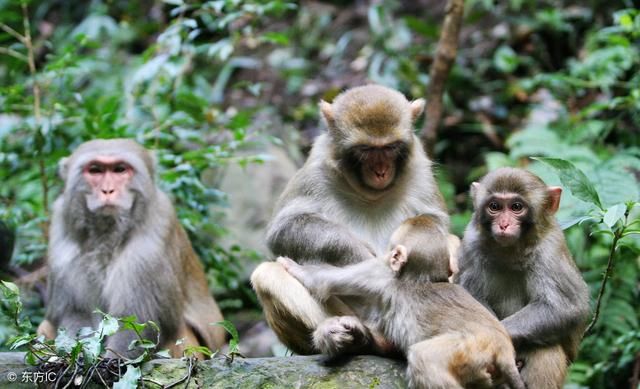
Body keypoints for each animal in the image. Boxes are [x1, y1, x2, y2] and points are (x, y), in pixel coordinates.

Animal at [35, 139, 225, 358]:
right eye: (95, 170)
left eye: (120, 169)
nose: (108, 191)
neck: (107, 234)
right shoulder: (61, 222)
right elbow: (75, 313)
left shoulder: (158, 227)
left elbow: (138, 320)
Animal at [250, 84, 460, 354]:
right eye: (366, 149)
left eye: (390, 147)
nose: (381, 171)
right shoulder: (316, 168)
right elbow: (284, 228)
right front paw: (360, 257)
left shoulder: (419, 168)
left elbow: (436, 221)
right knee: (267, 272)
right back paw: (349, 336)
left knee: (452, 242)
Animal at [280, 212, 524, 388]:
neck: (421, 277)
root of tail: (503, 348)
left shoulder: (377, 272)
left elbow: (322, 281)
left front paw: (296, 268)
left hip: (470, 349)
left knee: (424, 358)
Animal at [452, 167, 592, 388]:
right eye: (494, 207)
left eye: (516, 207)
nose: (504, 224)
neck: (511, 252)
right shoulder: (470, 246)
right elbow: (467, 298)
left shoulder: (549, 252)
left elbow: (565, 308)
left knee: (546, 348)